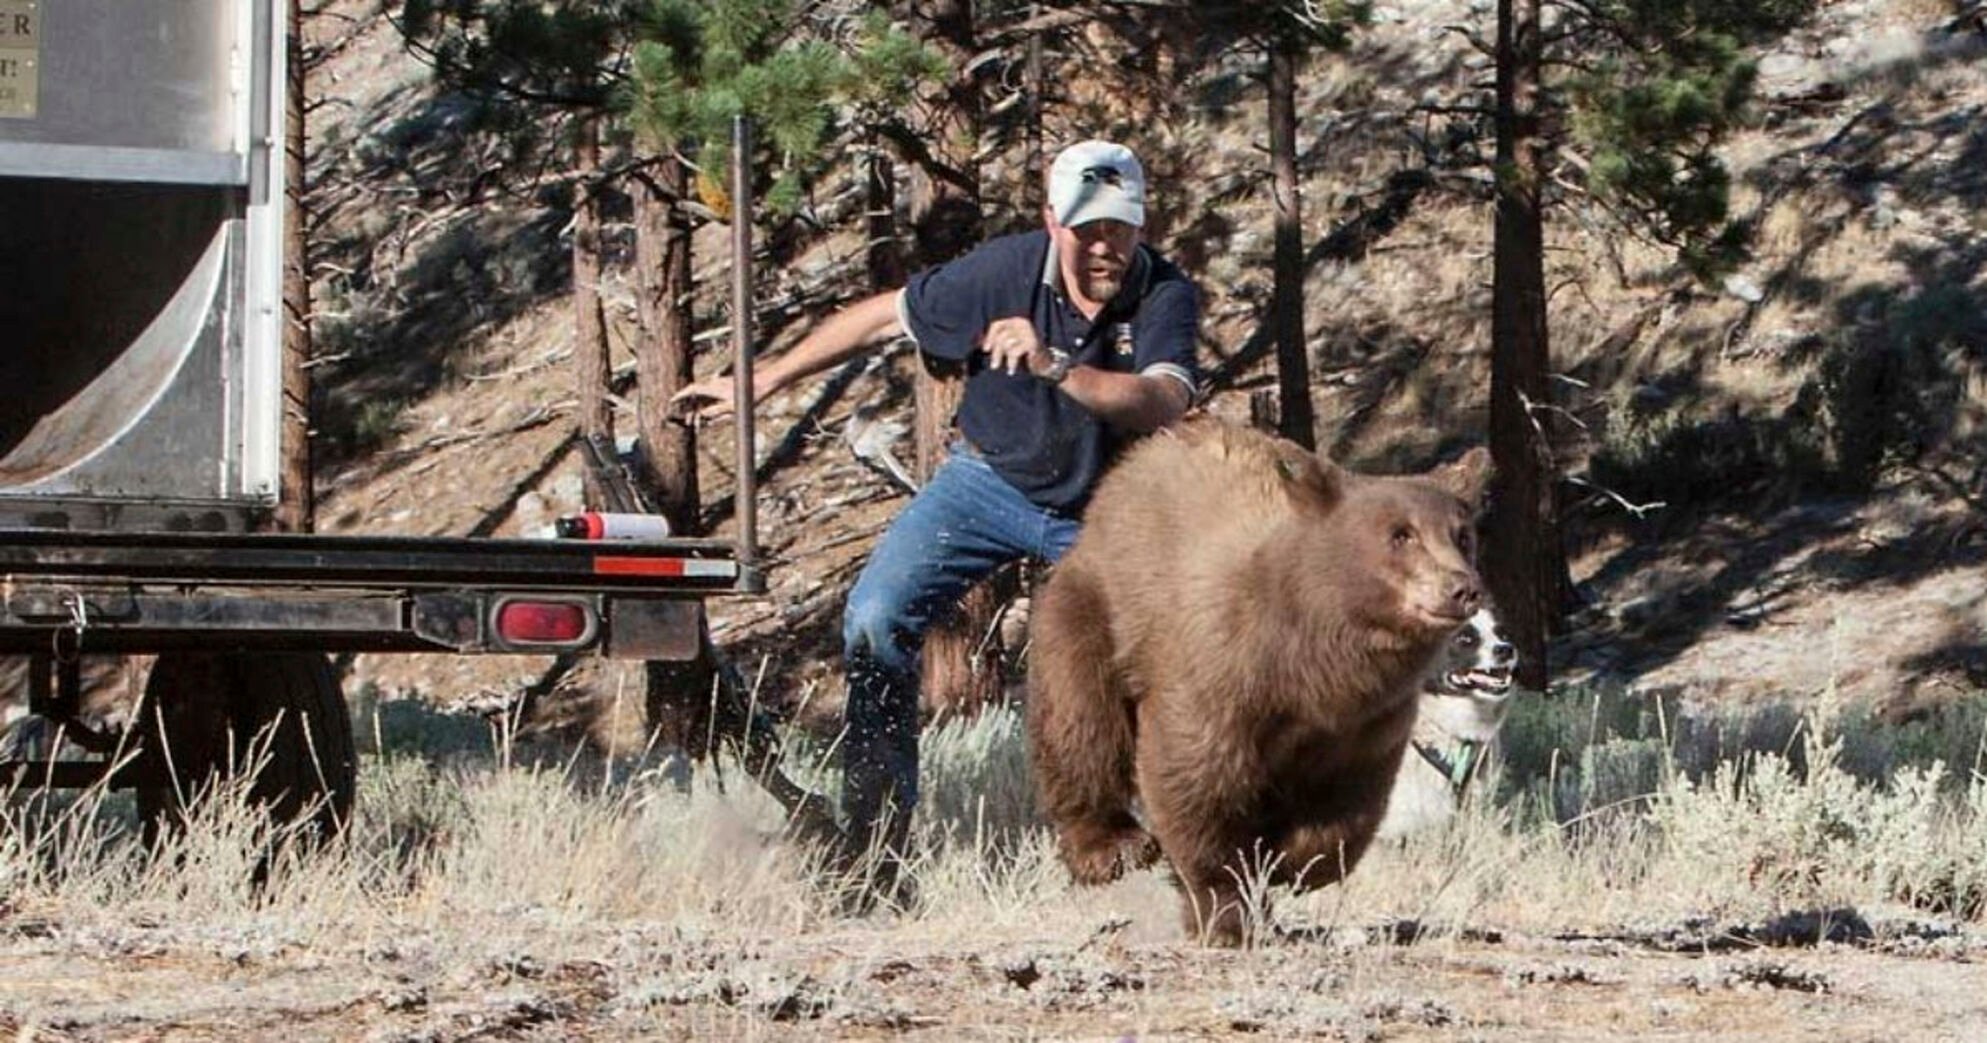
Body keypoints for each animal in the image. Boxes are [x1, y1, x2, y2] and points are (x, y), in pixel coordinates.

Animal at [1026, 419, 1490, 945]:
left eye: (1463, 535)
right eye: (1400, 534)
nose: (1461, 587)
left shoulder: (1366, 721)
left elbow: (1346, 805)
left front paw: (1286, 860)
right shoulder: (1223, 670)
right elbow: (1195, 777)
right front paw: (1226, 910)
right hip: (1090, 615)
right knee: (1082, 724)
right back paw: (1111, 846)